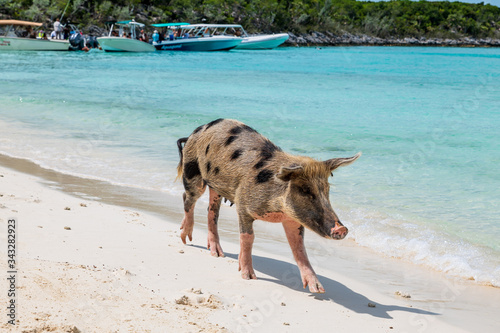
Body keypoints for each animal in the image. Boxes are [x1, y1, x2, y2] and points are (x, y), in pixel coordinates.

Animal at [176, 118, 360, 292]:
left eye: (327, 190)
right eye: (305, 190)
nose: (341, 228)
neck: (277, 210)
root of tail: (195, 131)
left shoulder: (292, 220)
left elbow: (299, 248)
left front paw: (318, 289)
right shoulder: (243, 205)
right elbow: (248, 237)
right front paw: (248, 276)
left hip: (215, 186)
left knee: (212, 211)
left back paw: (217, 254)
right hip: (192, 170)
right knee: (188, 198)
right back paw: (185, 238)